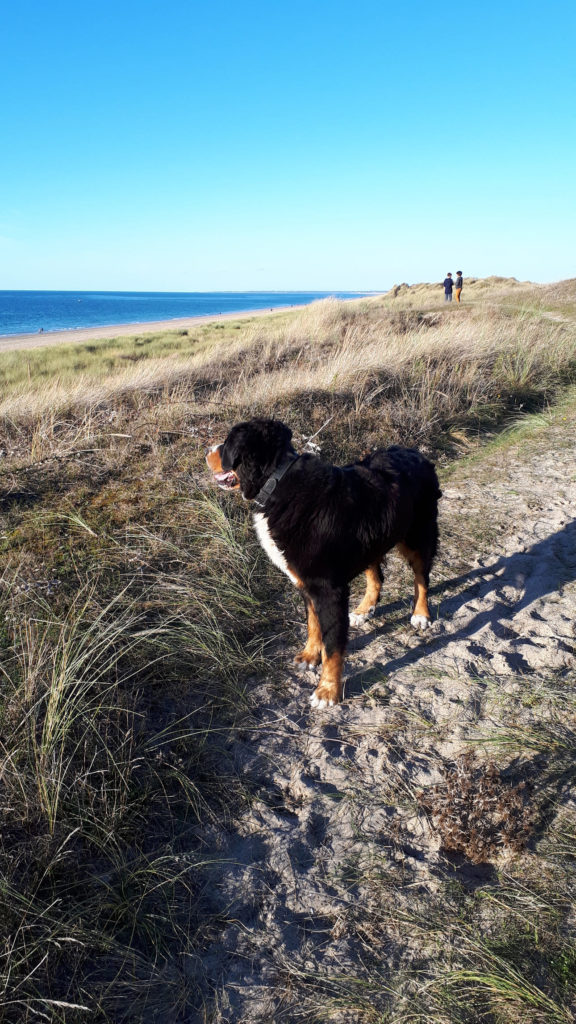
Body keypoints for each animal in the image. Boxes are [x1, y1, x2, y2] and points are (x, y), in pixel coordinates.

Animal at [206, 419, 438, 708]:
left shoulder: (328, 589)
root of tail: (414, 452)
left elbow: (333, 647)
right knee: (376, 576)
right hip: (372, 540)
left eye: (227, 444)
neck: (278, 484)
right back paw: (364, 610)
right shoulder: (306, 583)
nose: (206, 452)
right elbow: (313, 625)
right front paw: (309, 656)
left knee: (422, 577)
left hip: (417, 535)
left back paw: (420, 614)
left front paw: (327, 690)